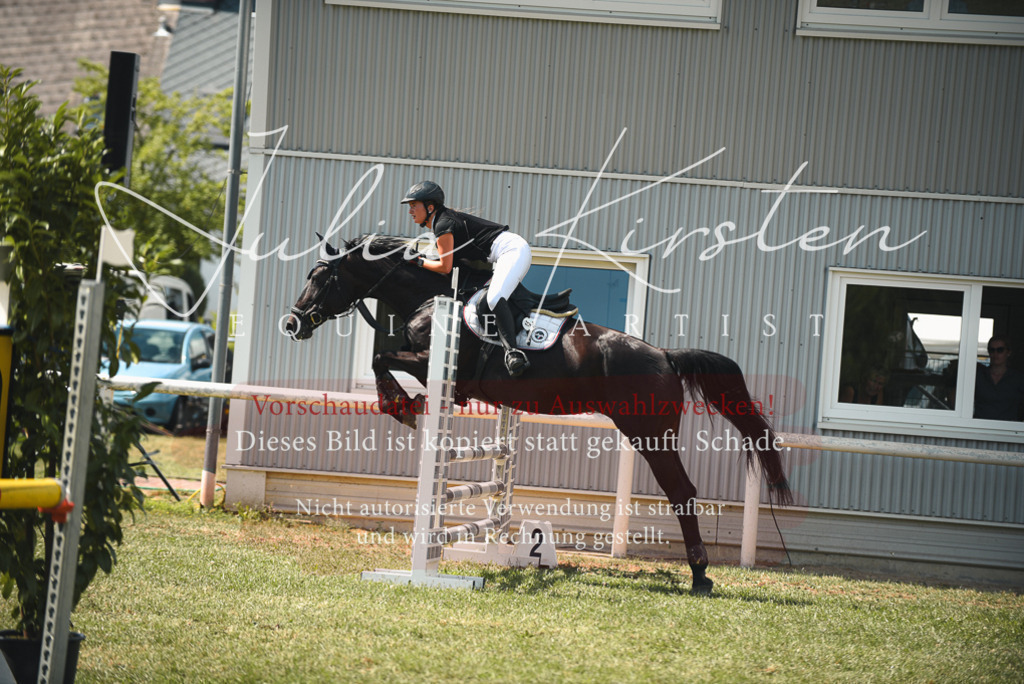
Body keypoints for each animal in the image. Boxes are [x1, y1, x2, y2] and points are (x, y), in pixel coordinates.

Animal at [286, 234, 792, 594]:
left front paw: (402, 407)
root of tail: (666, 355)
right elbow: (384, 358)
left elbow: (381, 359)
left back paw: (701, 575)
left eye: (320, 277)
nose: (292, 323)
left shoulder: (439, 364)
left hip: (650, 434)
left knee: (682, 492)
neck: (429, 297)